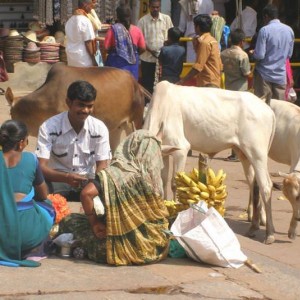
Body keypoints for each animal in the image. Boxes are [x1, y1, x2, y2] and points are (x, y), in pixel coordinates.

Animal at [144, 80, 276, 244]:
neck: (162, 107)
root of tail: (268, 110)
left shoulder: (181, 150)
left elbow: (175, 184)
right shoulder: (164, 154)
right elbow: (162, 183)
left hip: (258, 153)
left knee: (265, 186)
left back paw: (269, 233)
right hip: (243, 153)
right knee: (253, 183)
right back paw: (254, 225)